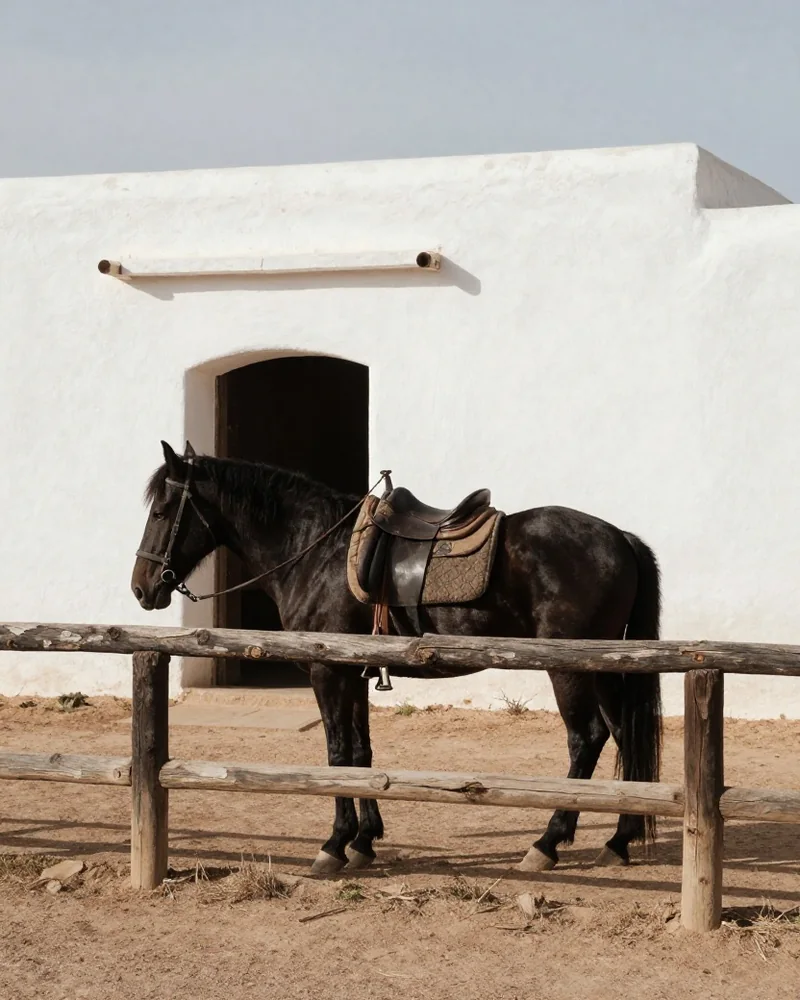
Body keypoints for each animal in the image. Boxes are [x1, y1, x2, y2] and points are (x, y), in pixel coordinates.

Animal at [131, 440, 662, 875]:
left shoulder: (328, 671)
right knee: (623, 735)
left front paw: (334, 845)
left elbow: (337, 755)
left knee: (586, 738)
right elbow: (361, 753)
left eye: (161, 512)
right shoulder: (355, 672)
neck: (316, 550)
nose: (142, 588)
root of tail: (620, 538)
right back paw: (618, 840)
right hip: (606, 667)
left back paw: (547, 843)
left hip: (569, 666)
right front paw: (364, 840)